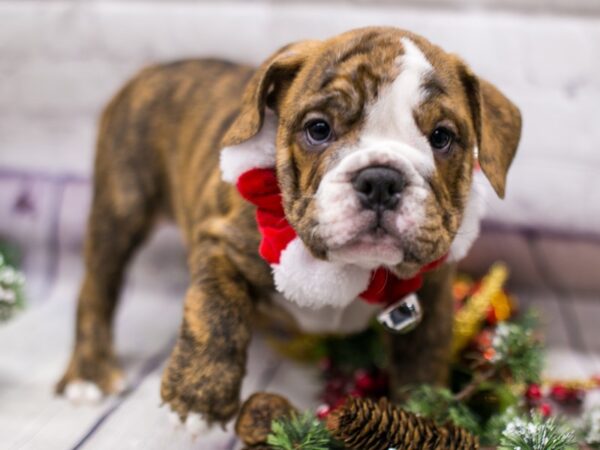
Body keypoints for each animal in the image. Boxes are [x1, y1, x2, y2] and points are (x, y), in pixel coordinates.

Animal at [56, 26, 520, 430]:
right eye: (318, 129)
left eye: (441, 137)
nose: (380, 180)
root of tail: (154, 69)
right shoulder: (221, 242)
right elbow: (216, 310)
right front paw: (198, 398)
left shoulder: (431, 298)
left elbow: (422, 365)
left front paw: (422, 418)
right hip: (121, 206)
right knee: (98, 286)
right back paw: (89, 376)